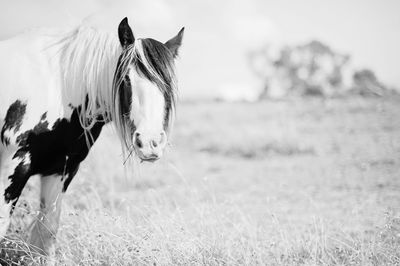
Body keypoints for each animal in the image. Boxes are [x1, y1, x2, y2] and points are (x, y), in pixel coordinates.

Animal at [0, 17, 185, 258]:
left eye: (167, 85)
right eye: (126, 80)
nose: (150, 143)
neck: (58, 88)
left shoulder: (60, 169)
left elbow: (46, 232)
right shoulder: (13, 165)